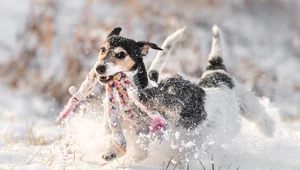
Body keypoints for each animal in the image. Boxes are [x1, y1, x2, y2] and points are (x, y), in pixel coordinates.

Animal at [93, 25, 274, 162]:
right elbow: (113, 136)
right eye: (102, 49)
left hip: (247, 103)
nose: (99, 68)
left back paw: (270, 130)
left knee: (260, 116)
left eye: (120, 54)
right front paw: (111, 152)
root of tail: (215, 71)